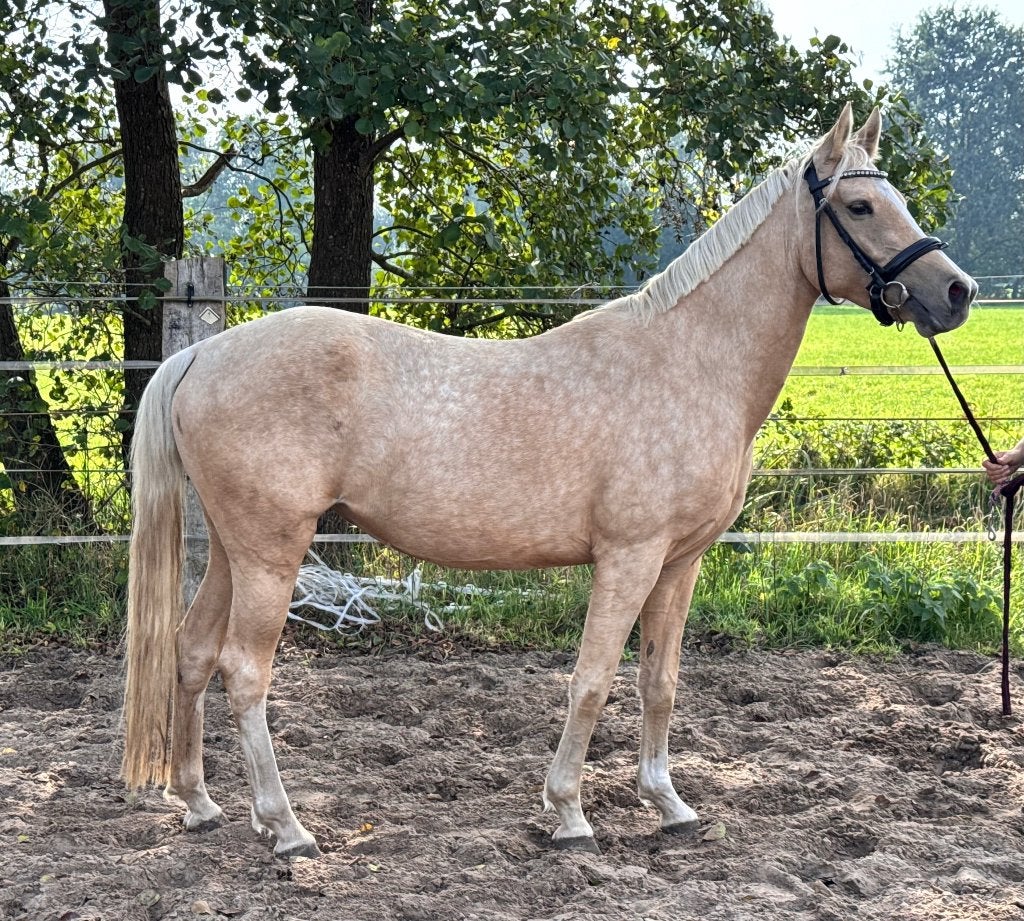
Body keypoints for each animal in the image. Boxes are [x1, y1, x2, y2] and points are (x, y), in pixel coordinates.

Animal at [121, 104, 976, 857]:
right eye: (860, 205)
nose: (957, 292)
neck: (691, 358)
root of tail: (200, 354)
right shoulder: (629, 556)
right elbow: (592, 680)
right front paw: (568, 812)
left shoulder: (679, 562)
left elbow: (659, 680)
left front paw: (668, 803)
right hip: (271, 552)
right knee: (245, 671)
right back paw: (286, 826)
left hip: (235, 549)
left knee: (193, 651)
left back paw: (201, 804)